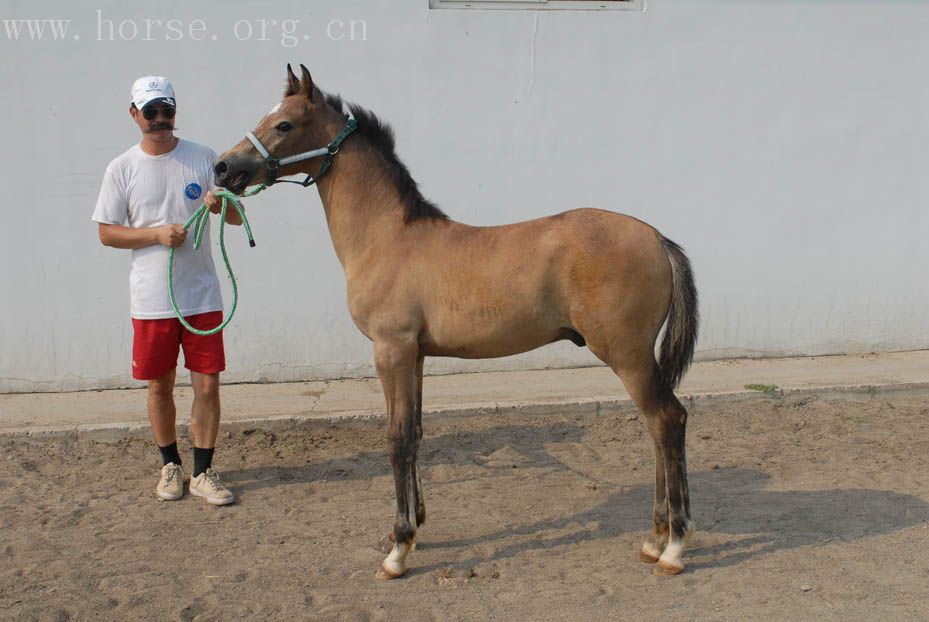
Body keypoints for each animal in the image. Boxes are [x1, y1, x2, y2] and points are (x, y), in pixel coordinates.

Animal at [216, 66, 696, 584]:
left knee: (667, 421)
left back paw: (673, 547)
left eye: (283, 124)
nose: (223, 168)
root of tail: (657, 238)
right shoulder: (417, 356)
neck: (386, 237)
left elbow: (397, 440)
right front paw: (415, 526)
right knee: (655, 428)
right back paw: (653, 539)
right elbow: (417, 433)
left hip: (626, 355)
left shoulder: (391, 352)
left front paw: (398, 549)